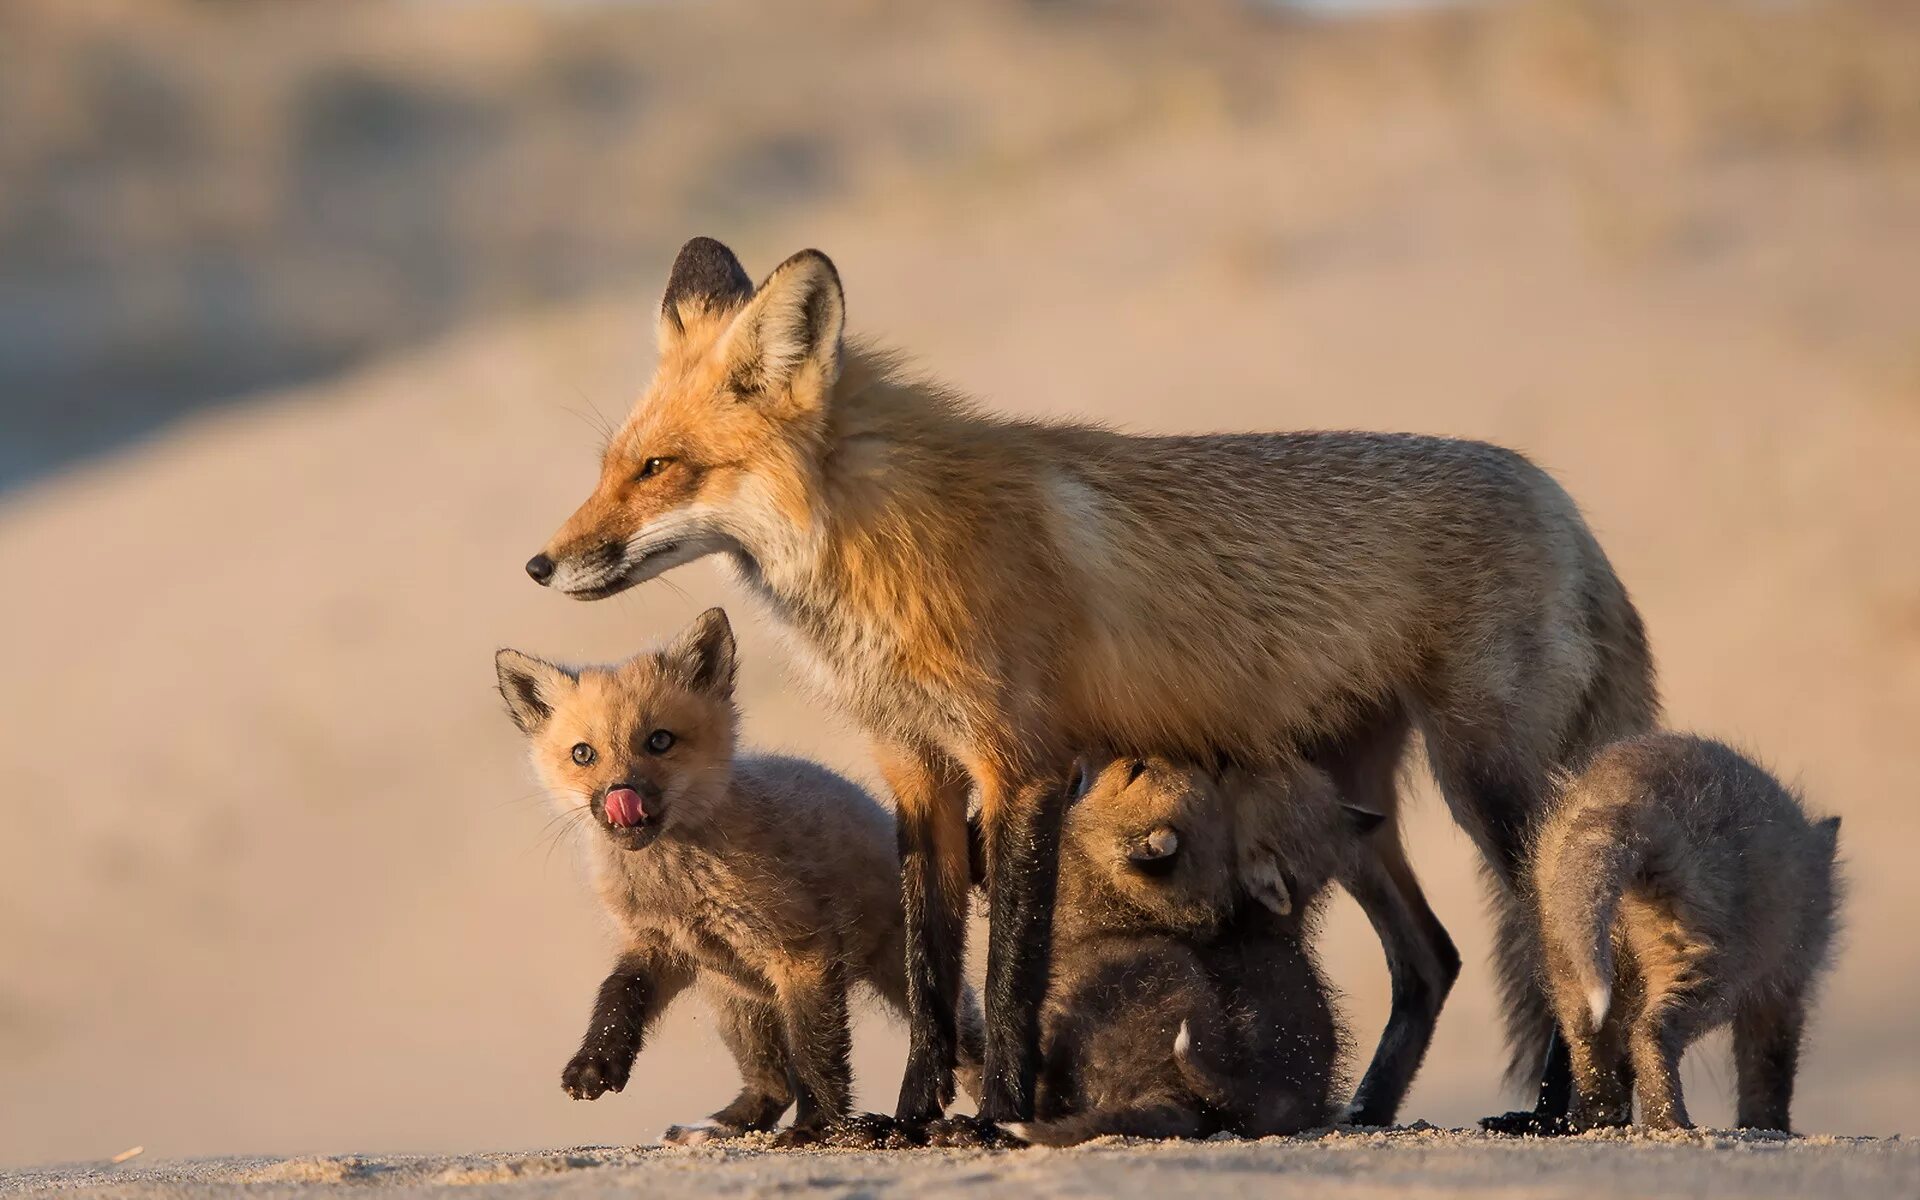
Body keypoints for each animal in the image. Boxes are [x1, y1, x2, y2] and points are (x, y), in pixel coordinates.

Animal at [529, 236, 1666, 1128]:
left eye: (662, 470)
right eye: (610, 464)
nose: (540, 565)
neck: (885, 555)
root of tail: (1561, 502)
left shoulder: (1023, 764)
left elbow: (1011, 970)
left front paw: (997, 1115)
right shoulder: (918, 770)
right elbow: (930, 974)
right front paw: (909, 1120)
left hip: (1487, 782)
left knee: (1558, 922)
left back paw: (1569, 1110)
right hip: (1350, 805)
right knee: (1432, 960)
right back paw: (1362, 1112)